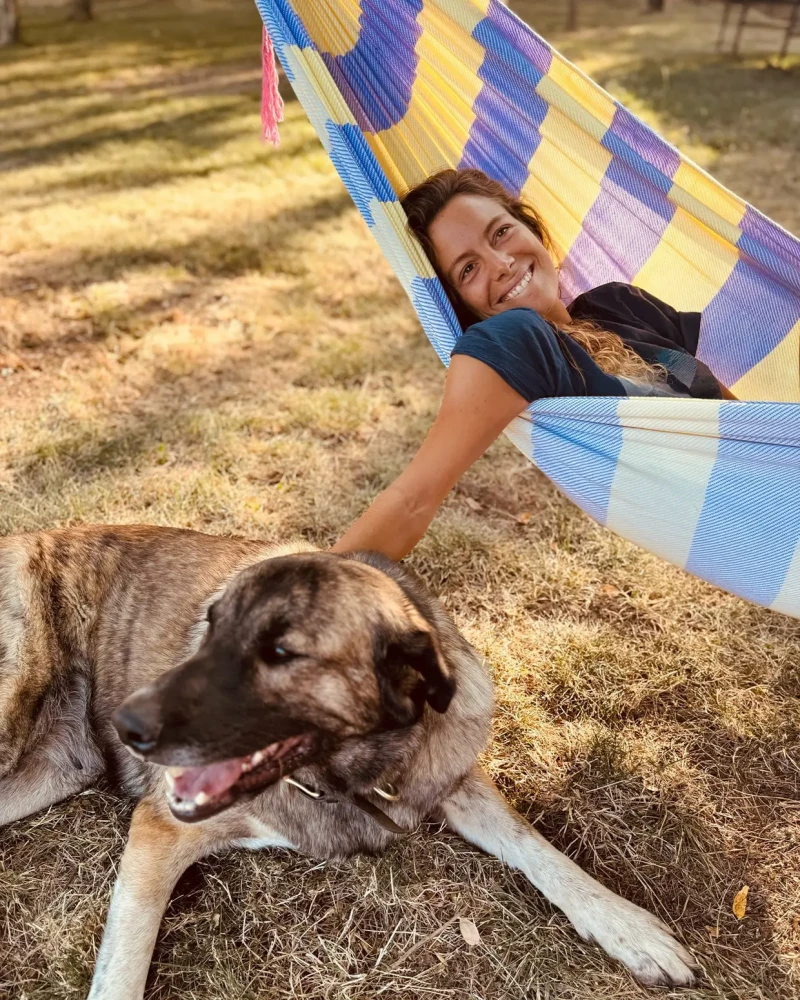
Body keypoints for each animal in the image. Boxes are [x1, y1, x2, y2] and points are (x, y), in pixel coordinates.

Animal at [0, 528, 696, 996]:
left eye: (282, 652)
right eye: (210, 626)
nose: (128, 724)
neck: (340, 775)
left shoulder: (446, 776)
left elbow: (536, 846)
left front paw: (625, 925)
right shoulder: (160, 830)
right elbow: (122, 968)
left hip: (52, 770)